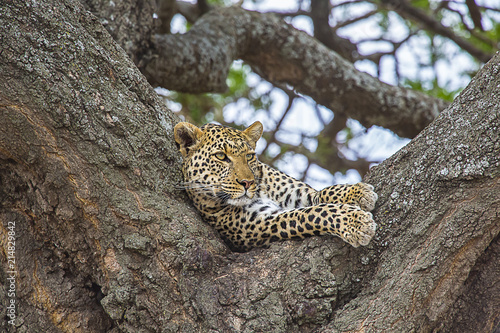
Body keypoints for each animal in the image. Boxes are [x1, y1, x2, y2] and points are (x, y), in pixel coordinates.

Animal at [174, 120, 376, 250]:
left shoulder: (298, 193)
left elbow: (321, 196)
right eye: (221, 156)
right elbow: (313, 213)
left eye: (249, 156)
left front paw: (358, 192)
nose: (247, 182)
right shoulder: (265, 222)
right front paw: (357, 222)